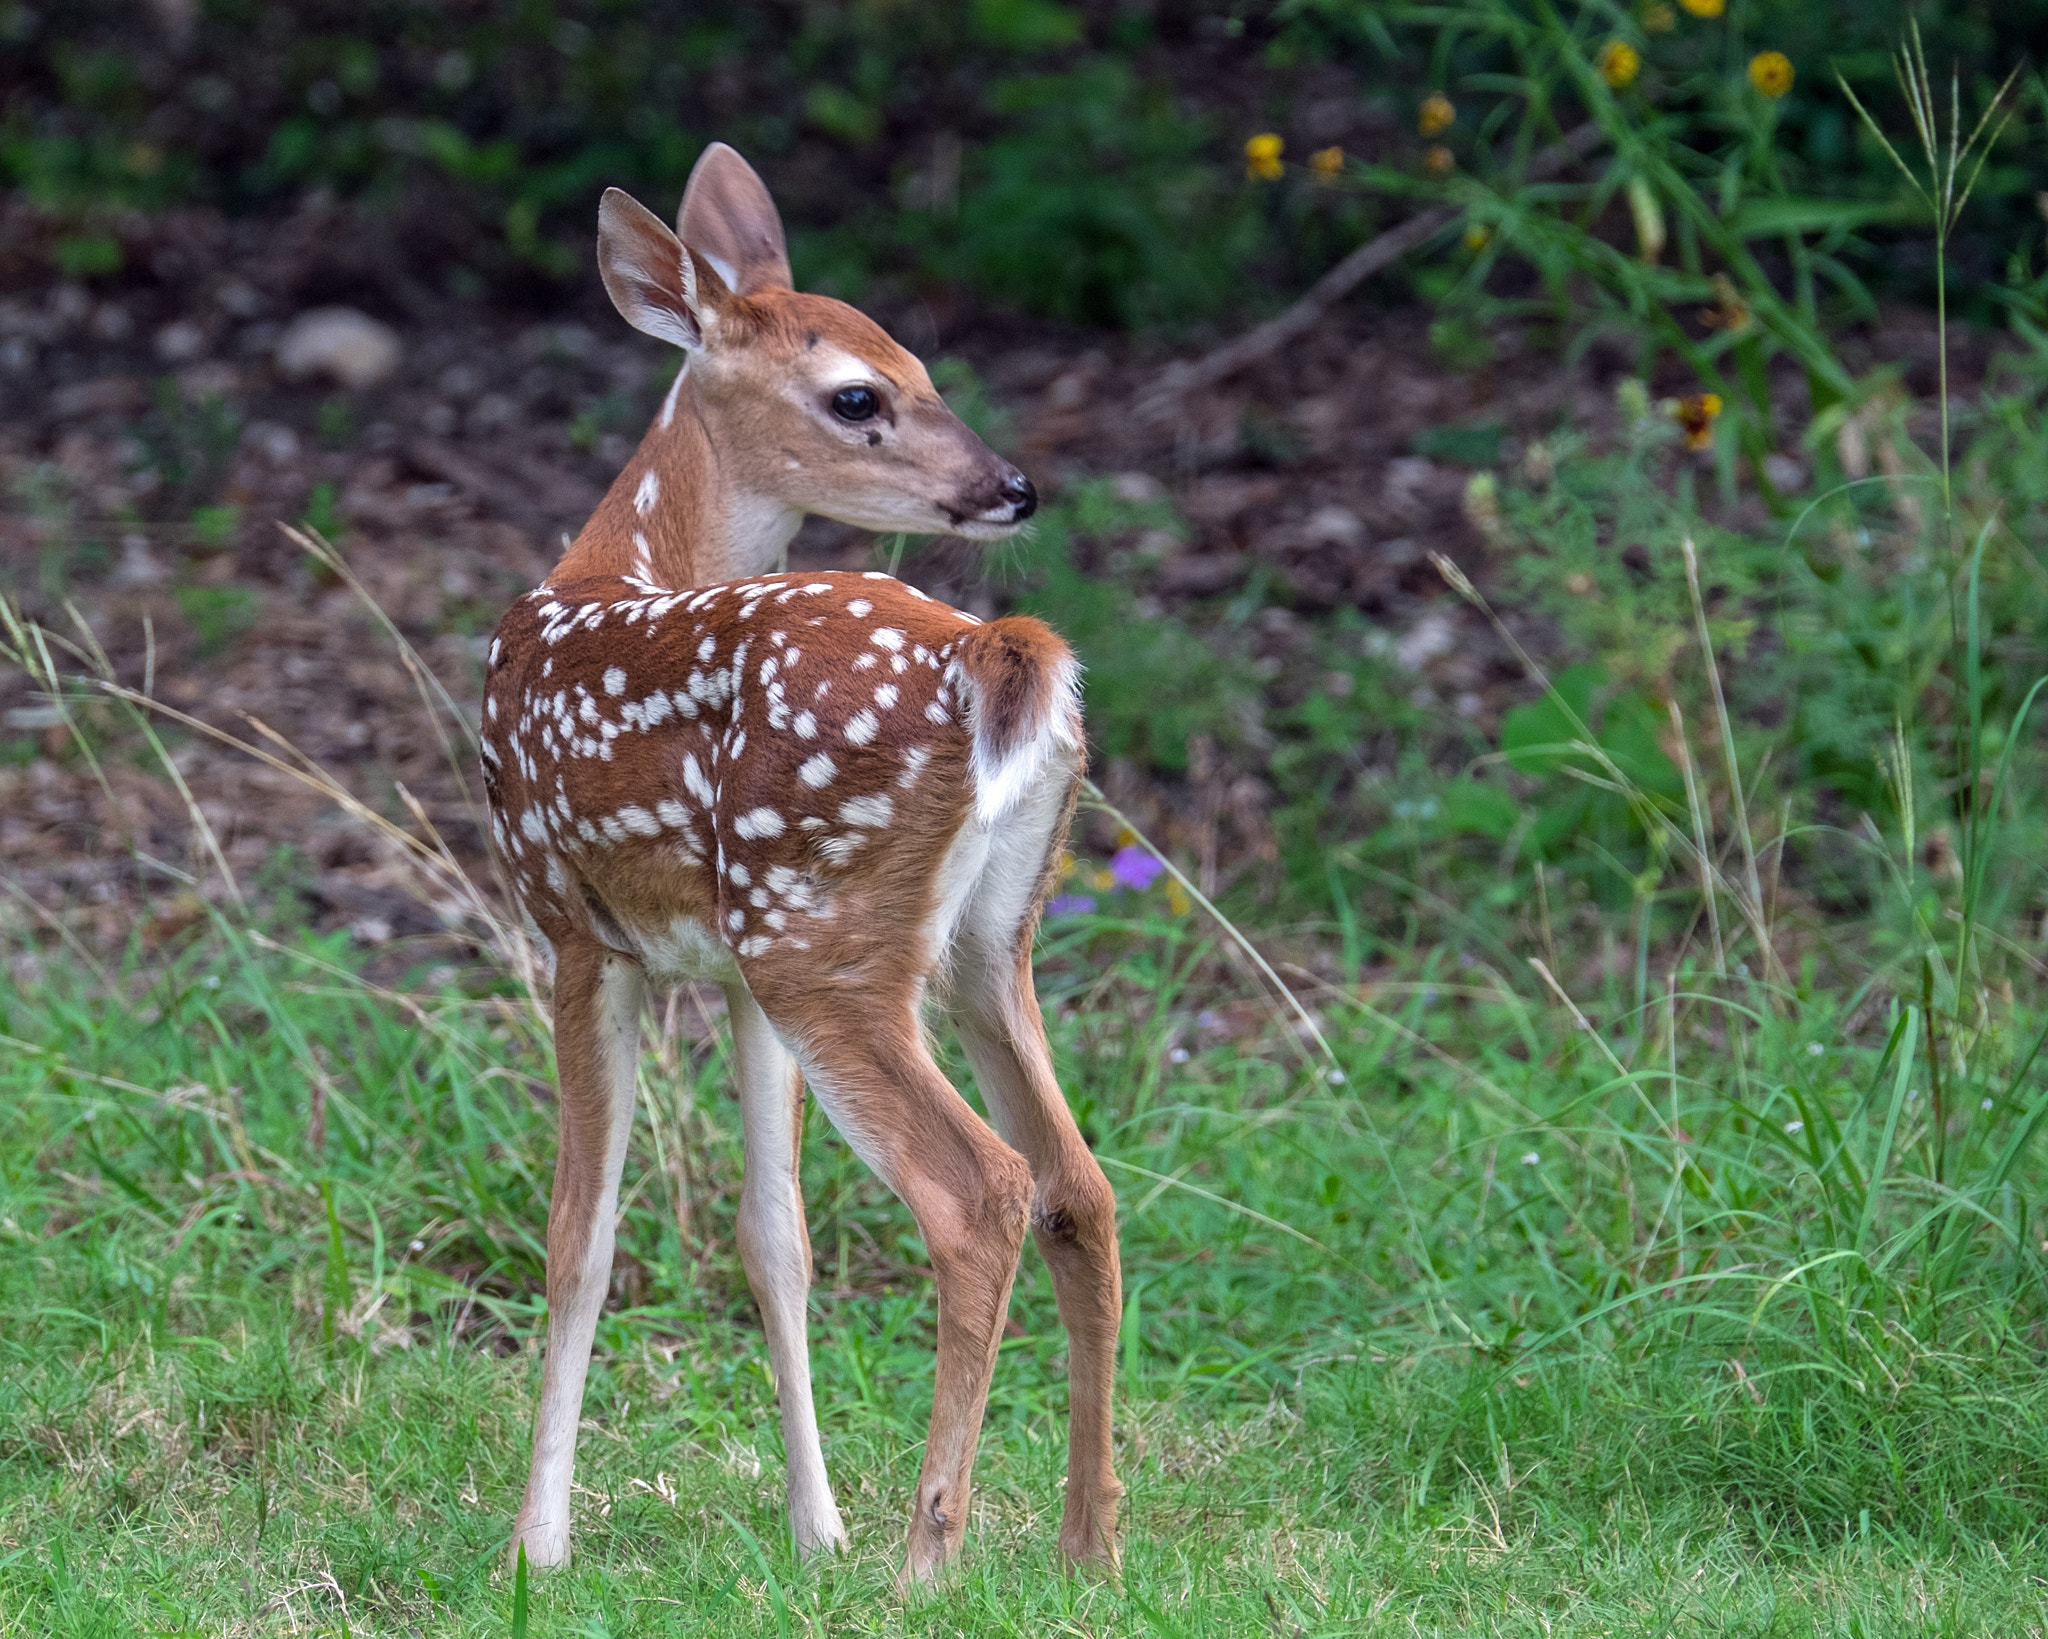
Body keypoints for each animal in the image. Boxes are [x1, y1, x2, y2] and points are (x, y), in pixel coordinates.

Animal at [479, 144, 1123, 1585]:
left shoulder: (575, 927)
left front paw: (536, 1545)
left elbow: (579, 1235)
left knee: (980, 1191)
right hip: (982, 941)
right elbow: (777, 1243)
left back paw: (927, 1556)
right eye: (863, 390)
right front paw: (811, 1526)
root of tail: (1000, 652)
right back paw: (1088, 1545)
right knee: (1077, 1185)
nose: (1012, 487)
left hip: (822, 934)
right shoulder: (722, 972)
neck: (613, 564)